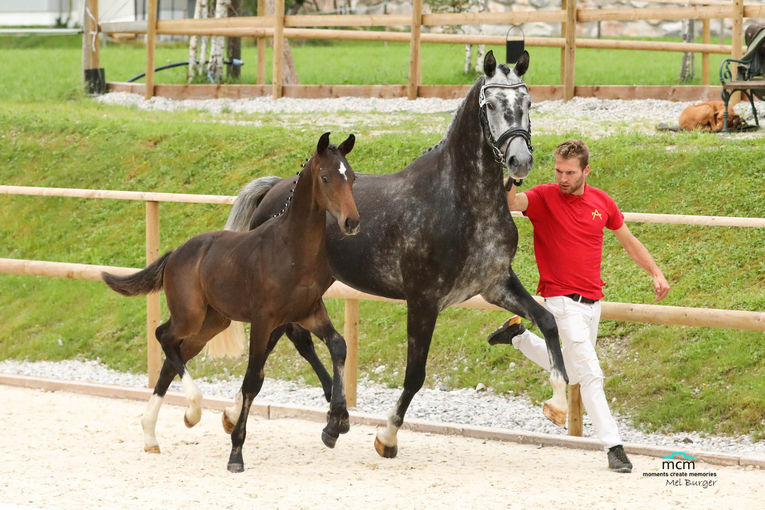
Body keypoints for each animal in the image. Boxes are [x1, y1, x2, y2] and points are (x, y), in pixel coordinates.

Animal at [100, 132, 358, 474]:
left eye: (352, 177)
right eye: (326, 177)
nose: (352, 221)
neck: (291, 250)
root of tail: (176, 253)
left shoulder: (310, 312)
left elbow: (339, 345)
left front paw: (336, 423)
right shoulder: (264, 321)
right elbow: (252, 381)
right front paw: (236, 453)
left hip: (213, 322)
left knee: (174, 357)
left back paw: (152, 434)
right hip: (190, 315)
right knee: (163, 336)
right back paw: (191, 411)